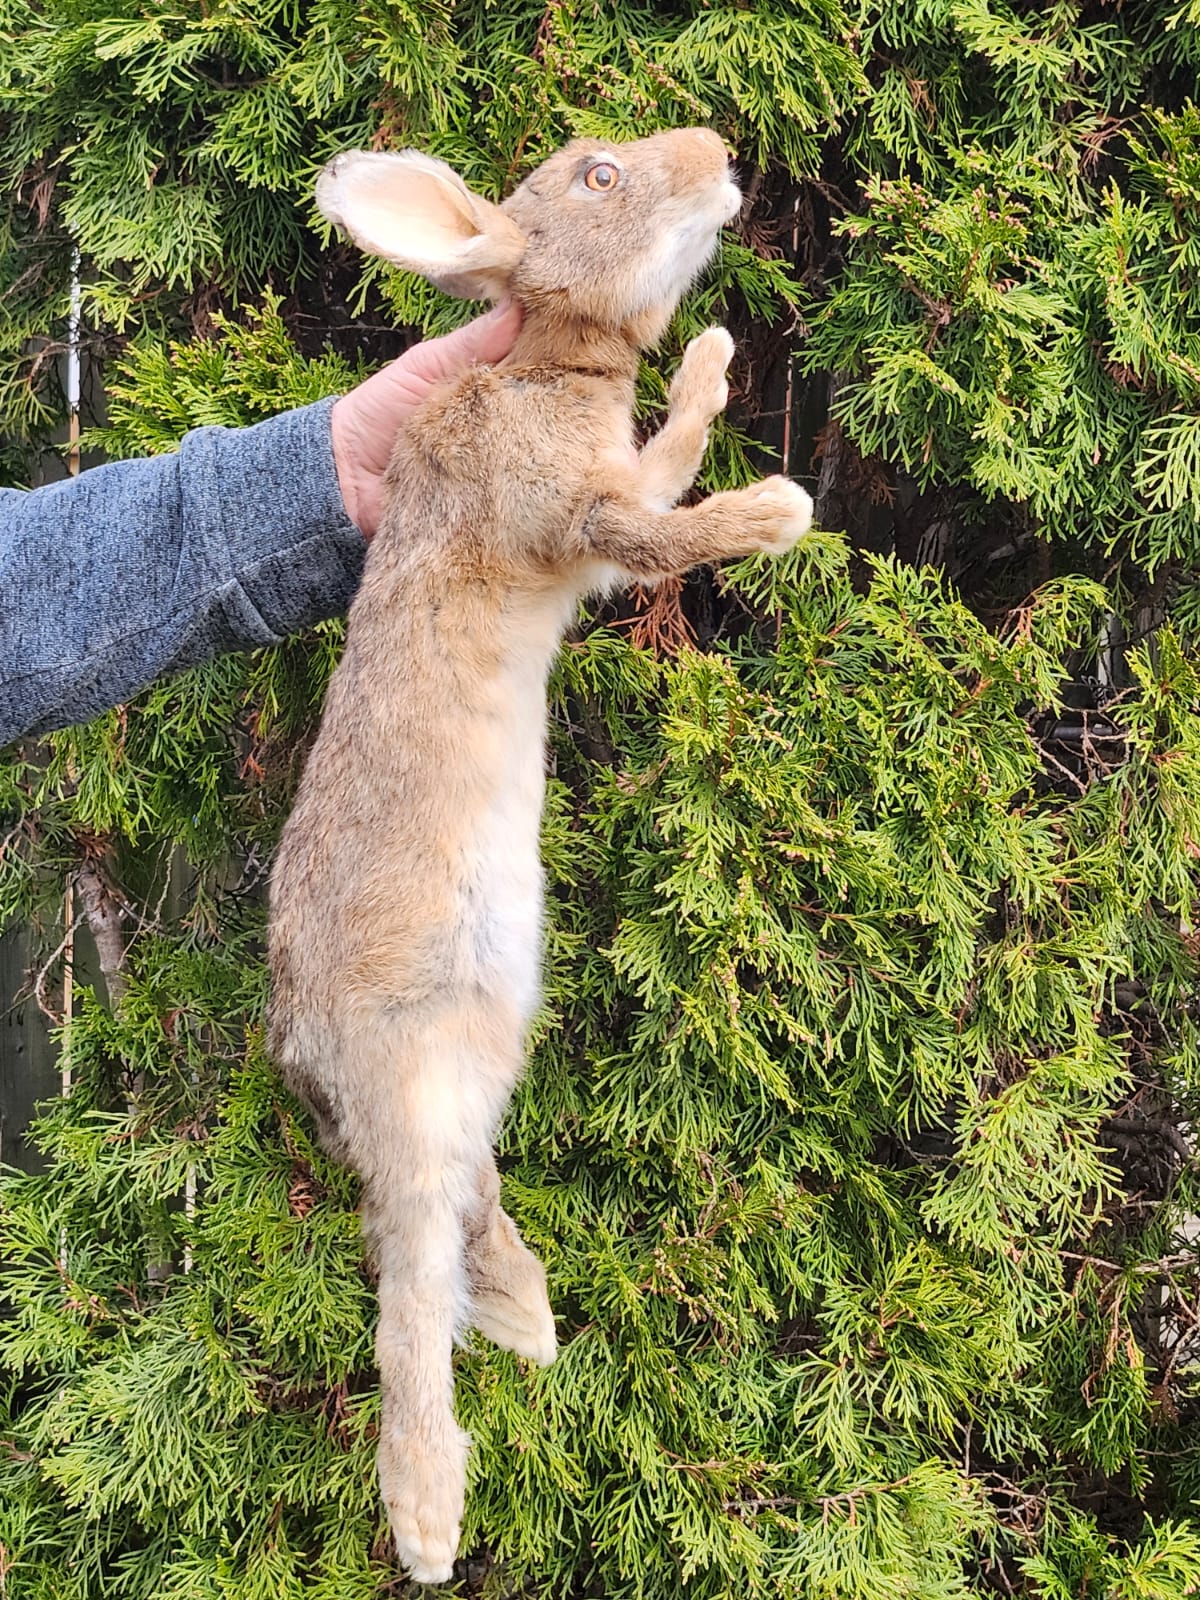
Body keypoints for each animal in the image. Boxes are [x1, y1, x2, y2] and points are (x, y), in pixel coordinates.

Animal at [266, 126, 813, 1584]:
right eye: (597, 177)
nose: (721, 152)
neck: (546, 362)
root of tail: (307, 1047)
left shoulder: (604, 488)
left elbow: (666, 452)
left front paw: (709, 359)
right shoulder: (568, 515)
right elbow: (659, 524)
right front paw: (775, 512)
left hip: (476, 1043)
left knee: (467, 1203)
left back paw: (526, 1314)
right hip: (414, 1059)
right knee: (409, 1287)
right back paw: (429, 1515)